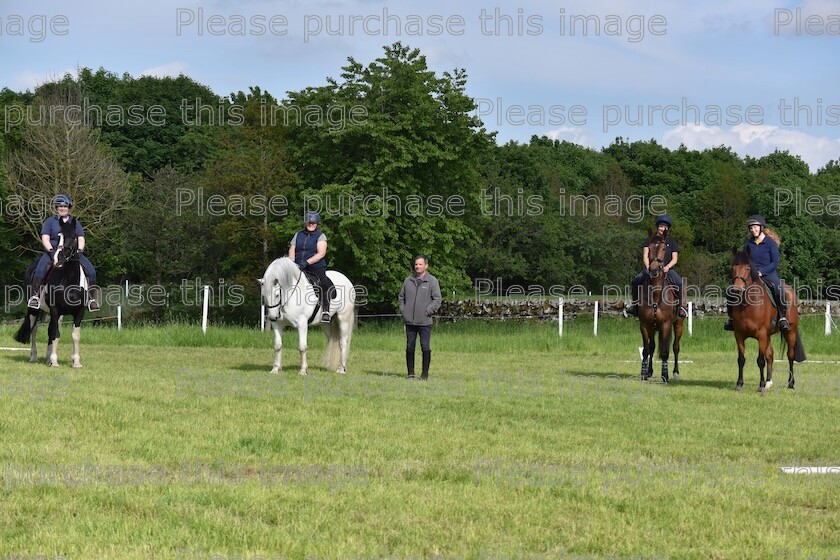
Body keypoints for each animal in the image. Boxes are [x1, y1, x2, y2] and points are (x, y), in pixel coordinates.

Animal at [13, 221, 87, 370]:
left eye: (73, 237)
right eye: (58, 237)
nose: (58, 259)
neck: (69, 281)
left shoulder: (79, 311)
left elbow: (75, 336)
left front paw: (76, 362)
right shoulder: (55, 309)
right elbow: (55, 334)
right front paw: (54, 361)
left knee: (49, 330)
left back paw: (47, 359)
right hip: (34, 309)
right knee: (34, 329)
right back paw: (34, 357)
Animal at [636, 230, 684, 382]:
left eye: (664, 248)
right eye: (650, 248)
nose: (653, 270)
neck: (656, 294)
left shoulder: (666, 325)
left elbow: (664, 351)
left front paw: (665, 375)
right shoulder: (645, 325)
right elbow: (647, 349)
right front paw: (644, 372)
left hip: (678, 324)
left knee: (675, 347)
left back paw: (675, 372)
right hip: (653, 327)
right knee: (652, 347)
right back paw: (650, 371)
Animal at [728, 249, 808, 394]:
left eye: (748, 268)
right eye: (733, 268)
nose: (737, 290)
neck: (748, 304)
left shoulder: (761, 335)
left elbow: (760, 360)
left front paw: (760, 386)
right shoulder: (739, 335)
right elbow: (741, 359)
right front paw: (740, 384)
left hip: (790, 332)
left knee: (790, 356)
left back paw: (790, 383)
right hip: (769, 335)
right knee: (770, 355)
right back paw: (768, 382)